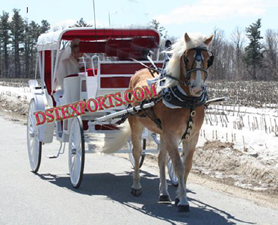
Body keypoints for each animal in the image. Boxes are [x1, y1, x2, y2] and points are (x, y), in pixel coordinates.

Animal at [103, 32, 214, 212]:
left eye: (207, 59)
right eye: (186, 58)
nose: (197, 87)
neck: (188, 101)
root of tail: (138, 71)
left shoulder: (192, 136)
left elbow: (187, 165)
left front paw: (178, 196)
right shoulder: (172, 134)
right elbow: (178, 165)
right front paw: (183, 201)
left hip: (162, 132)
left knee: (161, 158)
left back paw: (163, 193)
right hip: (137, 124)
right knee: (137, 152)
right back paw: (136, 186)